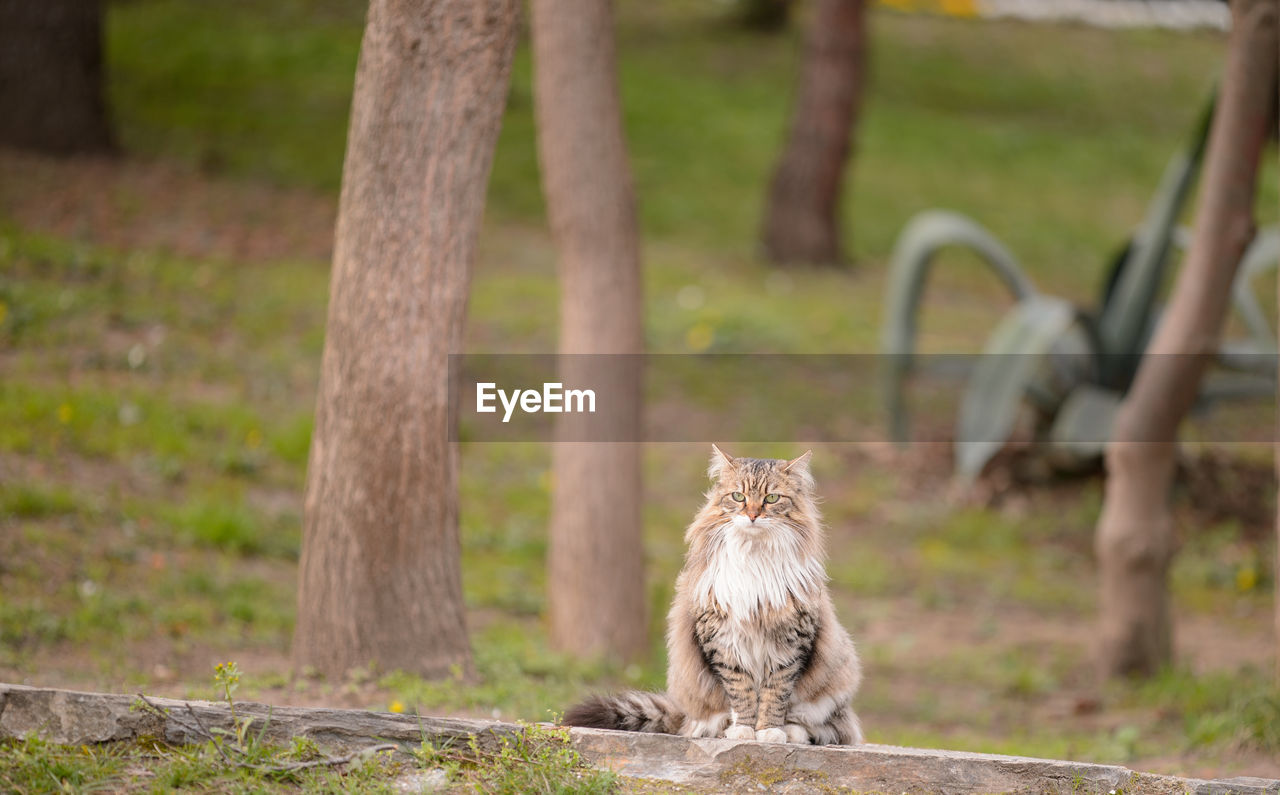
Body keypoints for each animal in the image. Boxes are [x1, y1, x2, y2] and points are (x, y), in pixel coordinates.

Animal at [565, 442, 865, 742]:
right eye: (738, 496)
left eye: (771, 498)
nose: (753, 515)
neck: (754, 557)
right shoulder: (723, 640)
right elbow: (741, 693)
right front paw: (743, 731)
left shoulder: (790, 645)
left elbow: (775, 694)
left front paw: (769, 732)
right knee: (699, 722)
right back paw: (720, 730)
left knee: (827, 727)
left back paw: (791, 733)